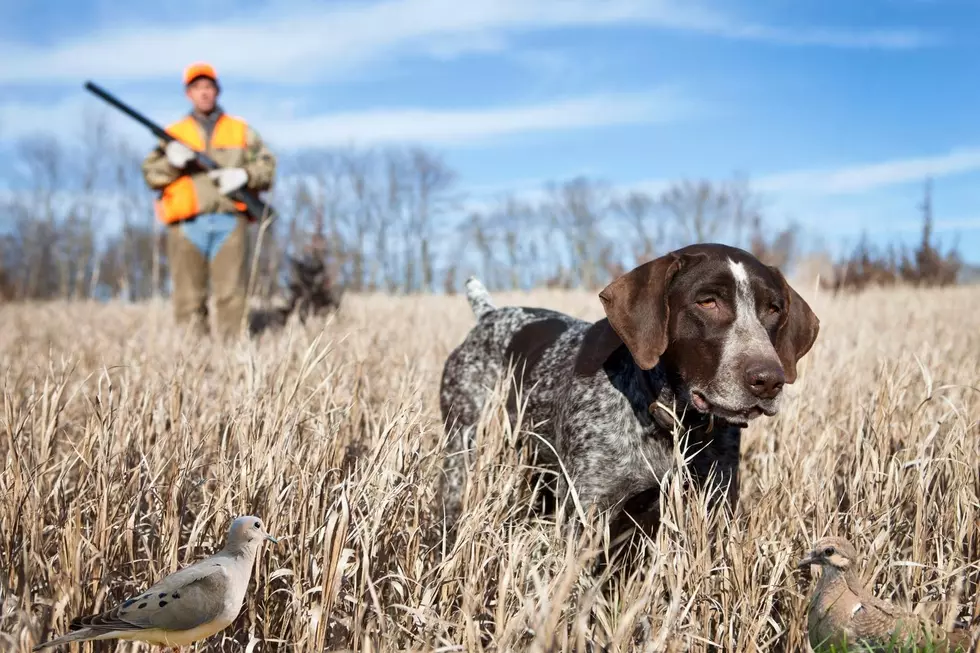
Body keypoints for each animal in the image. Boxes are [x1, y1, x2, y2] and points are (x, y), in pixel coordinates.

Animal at [436, 242, 820, 536]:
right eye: (707, 302)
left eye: (773, 309)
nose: (769, 380)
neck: (670, 418)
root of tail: (489, 315)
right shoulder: (586, 510)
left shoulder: (714, 503)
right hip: (463, 445)